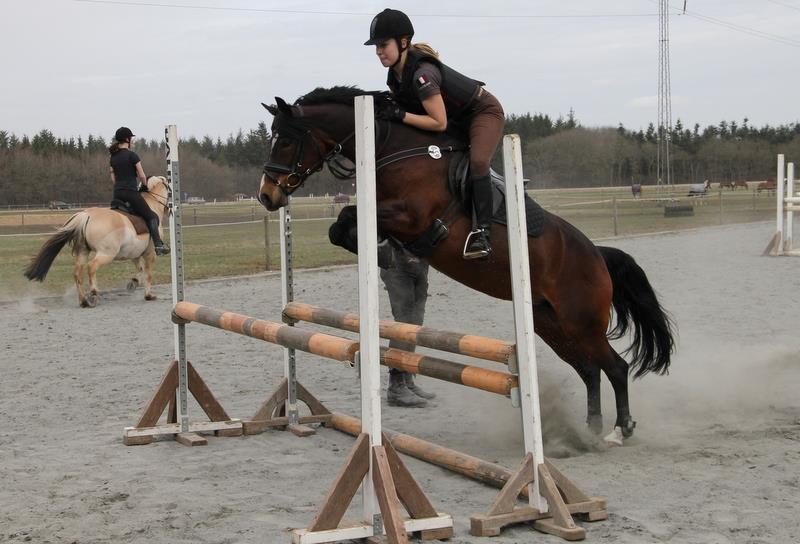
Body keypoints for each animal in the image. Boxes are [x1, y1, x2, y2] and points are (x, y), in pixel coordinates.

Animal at [25, 177, 169, 308]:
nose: (169, 208)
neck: (152, 204)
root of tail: (86, 215)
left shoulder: (134, 254)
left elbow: (141, 270)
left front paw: (133, 283)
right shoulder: (150, 253)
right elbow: (148, 273)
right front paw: (148, 295)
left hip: (83, 251)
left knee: (77, 273)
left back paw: (83, 301)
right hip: (106, 254)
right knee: (91, 267)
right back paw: (93, 294)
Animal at [258, 86, 676, 446]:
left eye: (286, 140)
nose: (267, 195)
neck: (392, 149)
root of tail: (598, 255)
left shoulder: (413, 217)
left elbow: (347, 218)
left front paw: (385, 250)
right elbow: (339, 226)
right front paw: (384, 250)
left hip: (581, 322)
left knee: (615, 368)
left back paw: (619, 430)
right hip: (550, 324)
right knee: (590, 370)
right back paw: (590, 429)